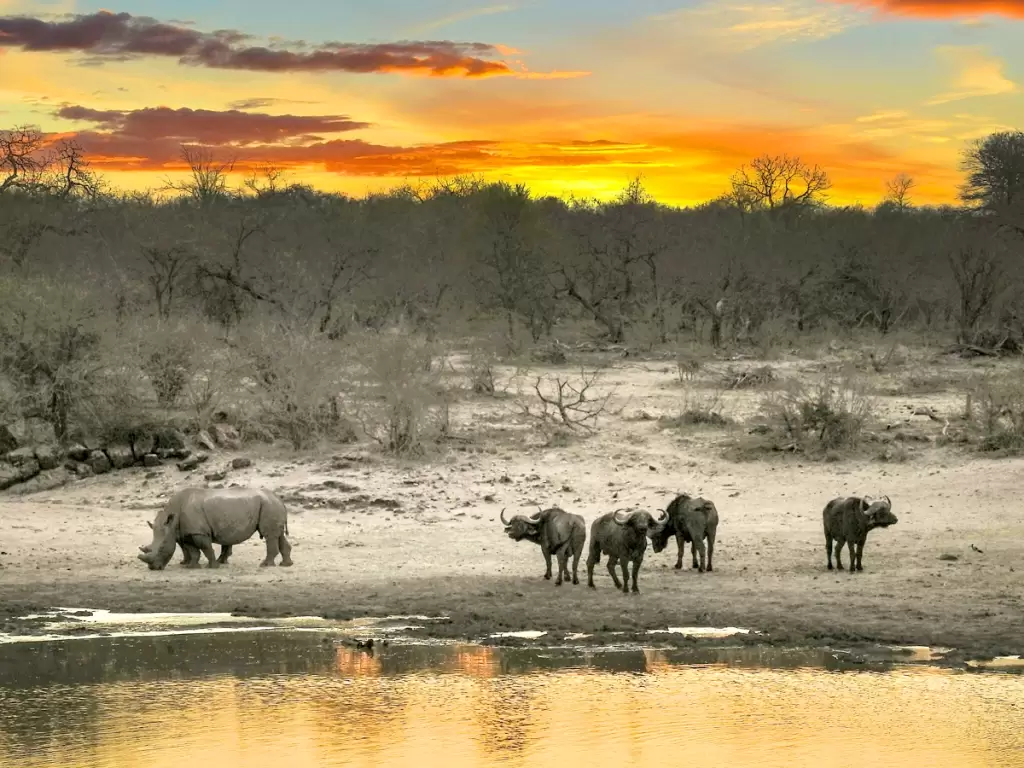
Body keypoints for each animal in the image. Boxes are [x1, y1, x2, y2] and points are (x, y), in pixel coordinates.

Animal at [137, 487, 293, 571]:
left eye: (162, 547)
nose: (154, 568)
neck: (172, 519)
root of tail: (280, 499)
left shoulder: (198, 532)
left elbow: (205, 548)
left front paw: (212, 566)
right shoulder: (186, 533)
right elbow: (192, 550)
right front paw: (191, 567)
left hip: (269, 506)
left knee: (269, 536)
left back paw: (265, 565)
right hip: (270, 505)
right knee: (278, 535)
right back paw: (286, 564)